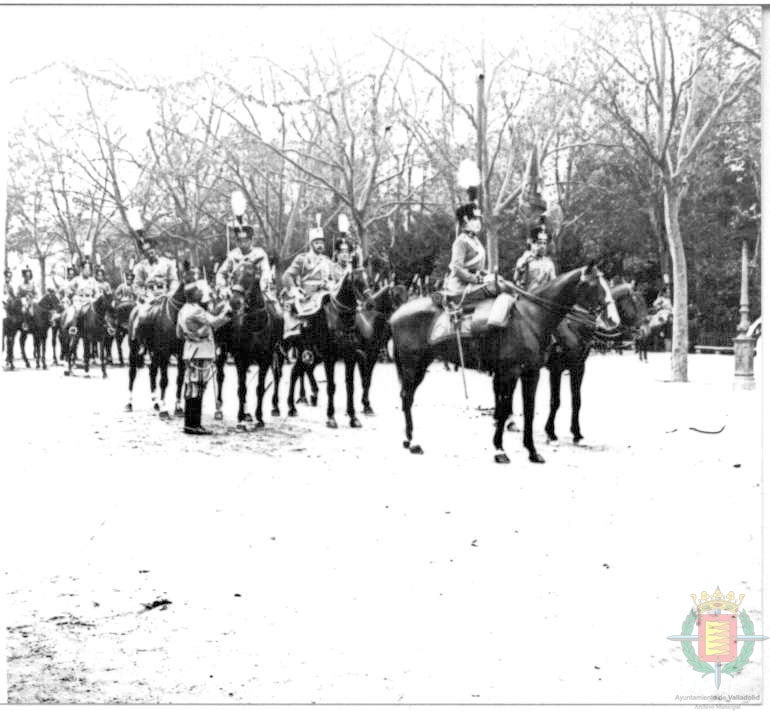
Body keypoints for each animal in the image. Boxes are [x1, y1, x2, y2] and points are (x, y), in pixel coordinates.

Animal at [126, 282, 188, 420]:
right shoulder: (164, 353)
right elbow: (164, 381)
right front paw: (164, 410)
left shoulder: (181, 355)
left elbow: (180, 380)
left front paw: (178, 408)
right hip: (134, 350)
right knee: (132, 374)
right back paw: (129, 403)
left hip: (153, 353)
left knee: (152, 372)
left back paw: (155, 403)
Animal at [213, 262, 284, 428]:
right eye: (233, 274)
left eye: (250, 275)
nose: (234, 301)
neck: (254, 324)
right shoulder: (241, 359)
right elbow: (242, 388)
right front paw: (240, 418)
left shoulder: (265, 359)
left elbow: (260, 388)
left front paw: (259, 418)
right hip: (221, 350)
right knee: (220, 376)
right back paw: (219, 408)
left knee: (277, 375)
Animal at [286, 268, 370, 428]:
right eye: (356, 281)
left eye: (367, 278)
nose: (370, 303)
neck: (341, 318)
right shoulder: (329, 358)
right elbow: (331, 386)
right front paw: (331, 418)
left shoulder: (350, 357)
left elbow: (350, 386)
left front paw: (353, 417)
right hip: (304, 353)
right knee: (294, 373)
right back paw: (291, 407)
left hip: (314, 356)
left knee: (298, 371)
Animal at [390, 264, 616, 464]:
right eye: (594, 285)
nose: (613, 319)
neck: (532, 317)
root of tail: (395, 315)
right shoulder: (512, 373)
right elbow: (505, 408)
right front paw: (500, 450)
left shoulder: (532, 373)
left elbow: (530, 409)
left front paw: (533, 452)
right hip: (413, 367)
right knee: (407, 398)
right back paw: (413, 442)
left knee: (406, 397)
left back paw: (408, 440)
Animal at [544, 280, 644, 442]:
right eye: (636, 302)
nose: (642, 331)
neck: (574, 326)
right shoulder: (556, 370)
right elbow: (555, 401)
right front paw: (550, 431)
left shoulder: (578, 368)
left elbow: (577, 400)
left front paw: (576, 432)